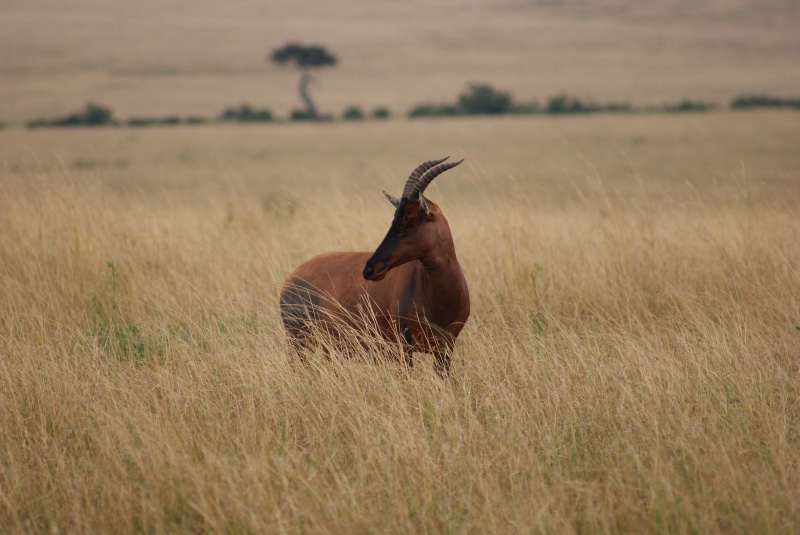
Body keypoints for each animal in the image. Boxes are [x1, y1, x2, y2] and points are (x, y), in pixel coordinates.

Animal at [279, 157, 470, 375]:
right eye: (394, 217)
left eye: (410, 217)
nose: (370, 268)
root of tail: (289, 281)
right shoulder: (403, 348)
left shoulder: (445, 349)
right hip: (299, 342)